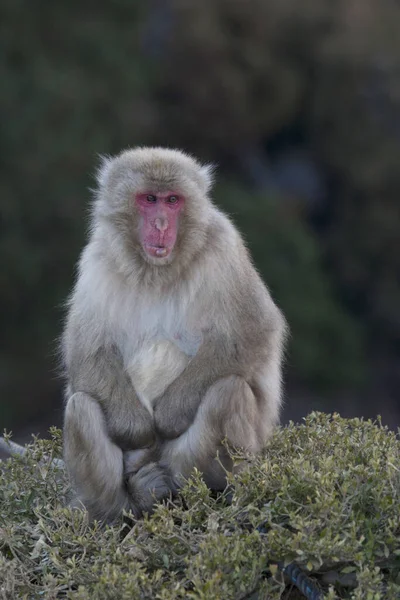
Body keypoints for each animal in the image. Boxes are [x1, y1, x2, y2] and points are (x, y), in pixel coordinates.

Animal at [61, 148, 288, 524]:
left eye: (172, 201)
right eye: (149, 199)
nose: (161, 224)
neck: (156, 272)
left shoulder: (224, 246)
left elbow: (251, 330)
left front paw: (168, 417)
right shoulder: (95, 259)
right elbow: (87, 350)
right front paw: (136, 428)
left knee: (228, 392)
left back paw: (195, 490)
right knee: (81, 407)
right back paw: (122, 506)